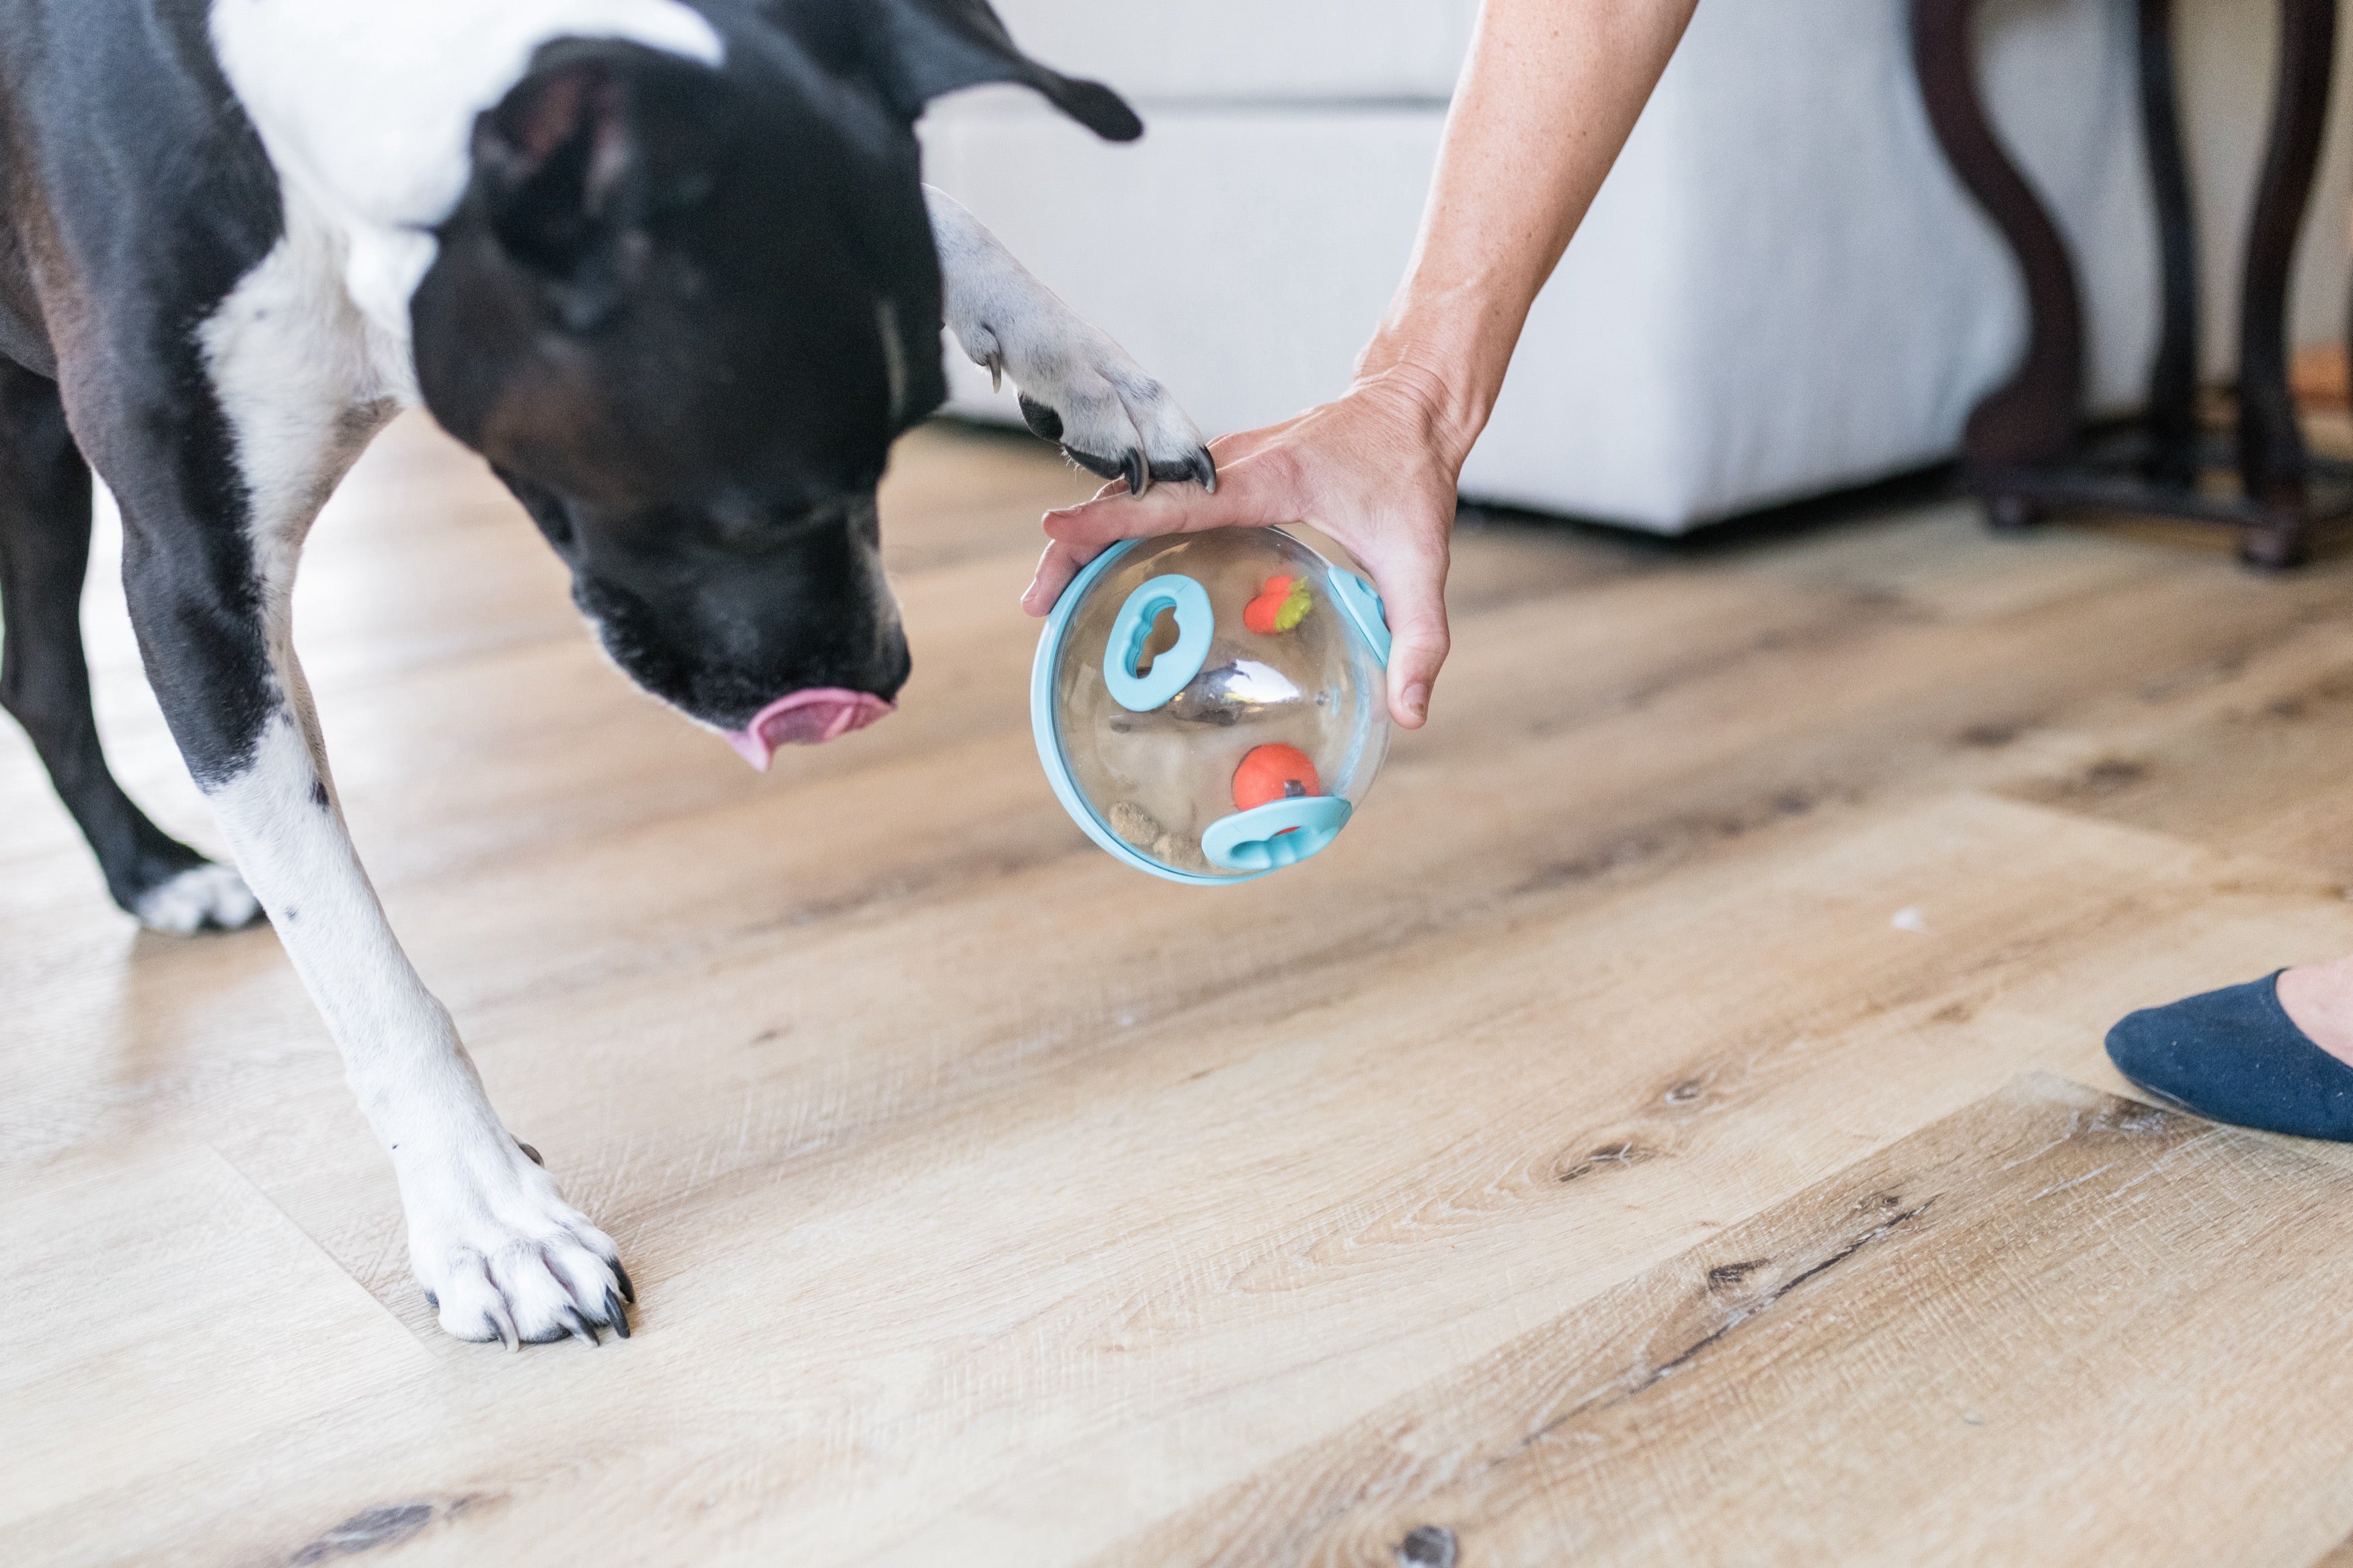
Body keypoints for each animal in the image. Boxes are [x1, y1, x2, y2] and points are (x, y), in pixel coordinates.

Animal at [0, 3, 1205, 1354]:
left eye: (890, 453)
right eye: (748, 505)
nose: (882, 674)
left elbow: (919, 189)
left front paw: (1090, 367)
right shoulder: (199, 597)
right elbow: (361, 964)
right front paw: (489, 1218)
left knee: (38, 678)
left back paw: (150, 873)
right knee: (46, 677)